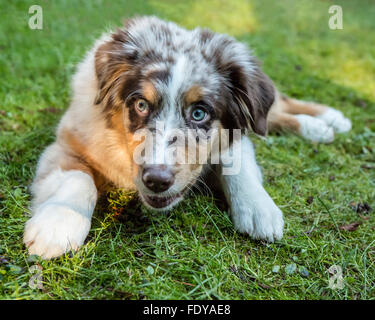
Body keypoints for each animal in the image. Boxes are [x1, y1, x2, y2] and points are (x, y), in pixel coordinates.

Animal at [23, 15, 352, 260]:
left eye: (199, 113)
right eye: (141, 105)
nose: (156, 180)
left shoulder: (235, 135)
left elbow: (237, 162)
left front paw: (259, 208)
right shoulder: (67, 143)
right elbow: (78, 178)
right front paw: (58, 224)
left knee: (277, 107)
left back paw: (327, 120)